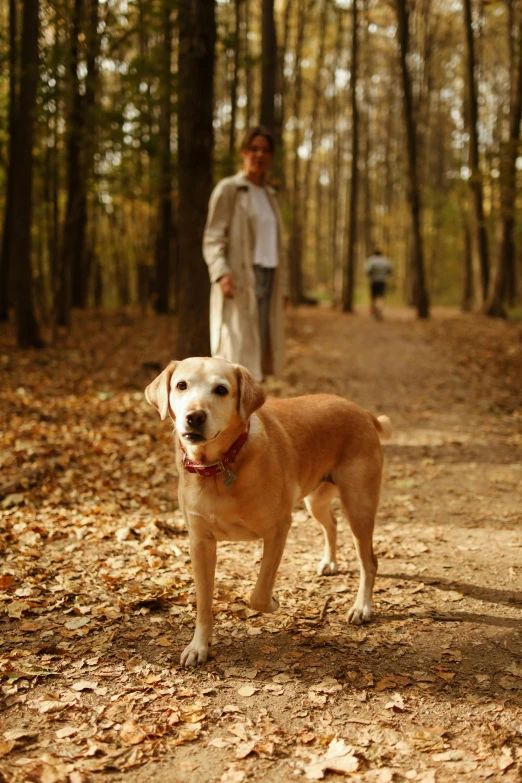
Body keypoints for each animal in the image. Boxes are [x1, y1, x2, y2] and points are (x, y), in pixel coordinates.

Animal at [144, 358, 388, 664]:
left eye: (221, 389)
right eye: (181, 385)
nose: (194, 416)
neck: (219, 467)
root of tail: (363, 412)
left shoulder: (277, 530)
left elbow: (258, 594)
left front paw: (272, 602)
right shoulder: (200, 543)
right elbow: (203, 602)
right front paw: (199, 646)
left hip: (358, 506)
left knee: (369, 562)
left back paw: (362, 607)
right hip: (316, 501)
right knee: (331, 524)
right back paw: (329, 563)